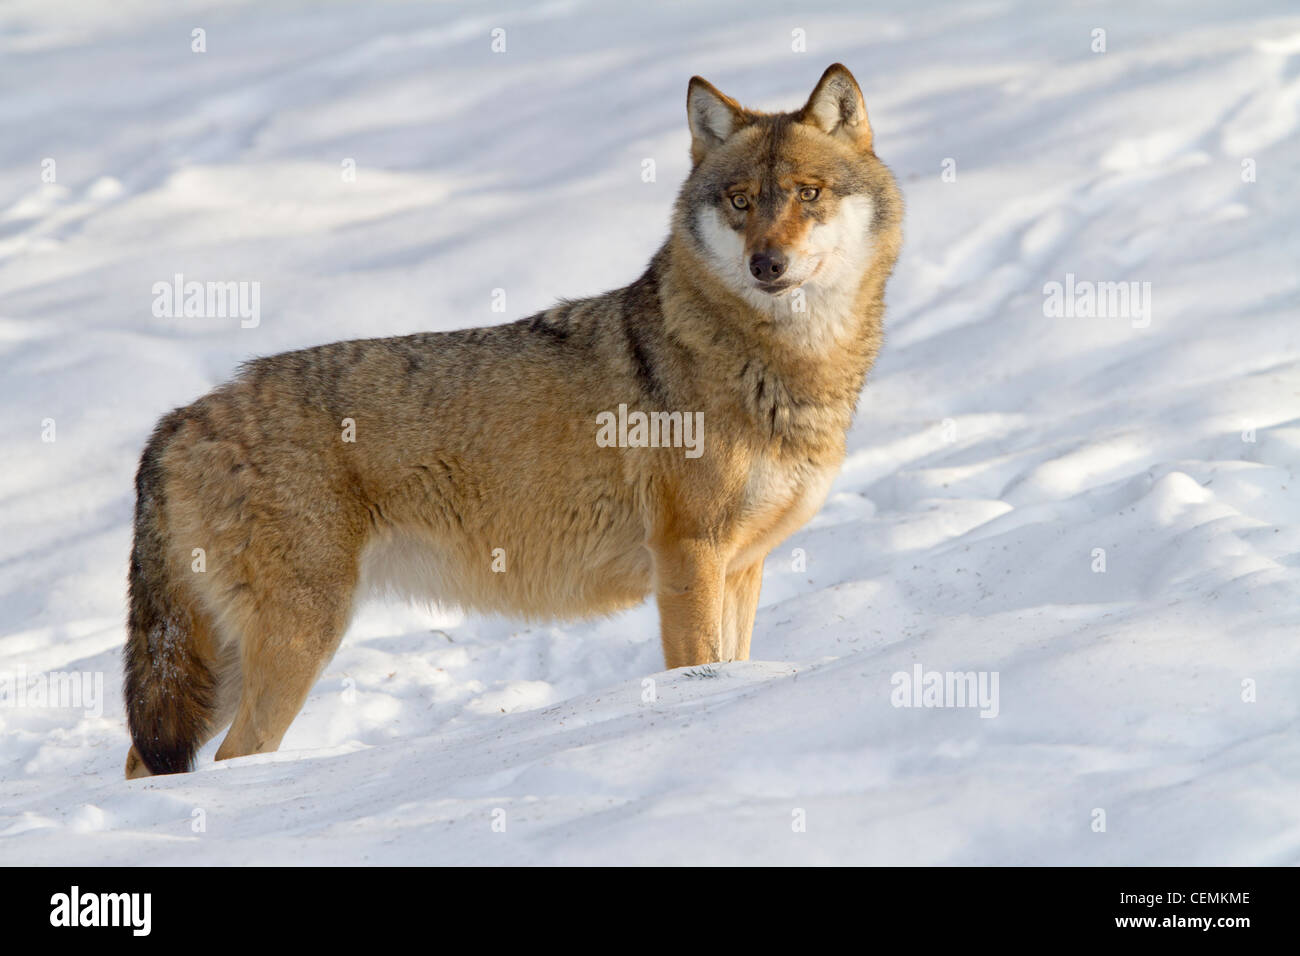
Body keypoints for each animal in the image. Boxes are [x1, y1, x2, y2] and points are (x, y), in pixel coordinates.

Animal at [124, 63, 904, 780]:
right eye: (741, 201)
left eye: (808, 193)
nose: (767, 263)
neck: (786, 368)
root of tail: (177, 422)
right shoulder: (688, 556)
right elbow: (698, 671)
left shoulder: (742, 565)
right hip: (297, 640)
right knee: (230, 757)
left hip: (227, 660)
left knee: (142, 759)